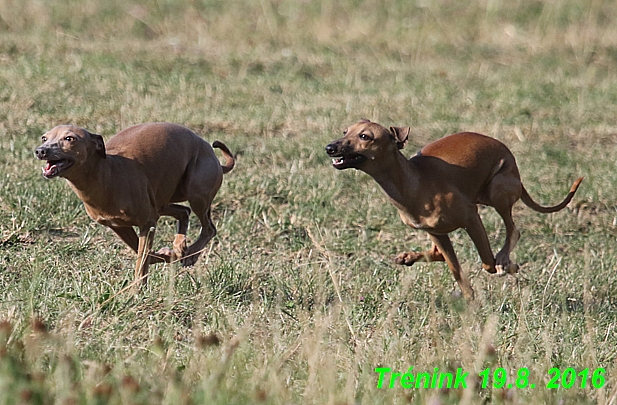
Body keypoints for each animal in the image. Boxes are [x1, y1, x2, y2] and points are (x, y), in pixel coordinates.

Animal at [35, 121, 233, 286]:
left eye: (70, 138)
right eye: (44, 137)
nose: (40, 150)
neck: (106, 175)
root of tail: (211, 153)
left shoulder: (147, 223)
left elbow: (142, 258)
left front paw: (137, 290)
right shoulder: (119, 226)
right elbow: (144, 254)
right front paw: (168, 254)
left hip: (196, 193)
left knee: (208, 228)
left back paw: (190, 254)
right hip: (162, 201)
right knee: (184, 211)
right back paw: (179, 246)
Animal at [328, 118, 584, 298]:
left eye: (365, 136)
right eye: (345, 132)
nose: (329, 147)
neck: (412, 181)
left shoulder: (471, 217)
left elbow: (487, 262)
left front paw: (508, 266)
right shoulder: (436, 232)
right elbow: (455, 269)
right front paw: (468, 298)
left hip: (498, 190)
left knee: (513, 230)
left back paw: (504, 259)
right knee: (440, 253)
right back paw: (408, 257)